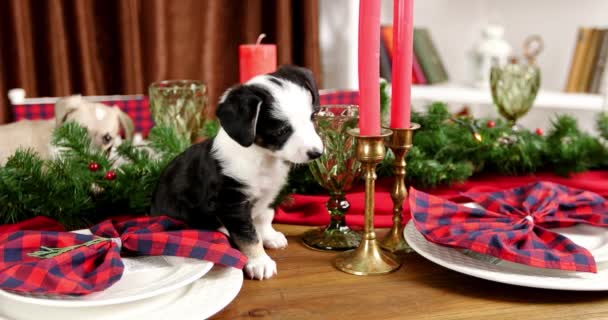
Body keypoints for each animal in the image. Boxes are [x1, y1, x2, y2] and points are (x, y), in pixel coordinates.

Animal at [150, 65, 326, 280]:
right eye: (281, 131)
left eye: (313, 117)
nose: (316, 153)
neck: (263, 158)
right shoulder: (231, 203)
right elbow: (248, 236)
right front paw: (259, 262)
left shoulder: (268, 196)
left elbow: (265, 216)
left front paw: (269, 236)